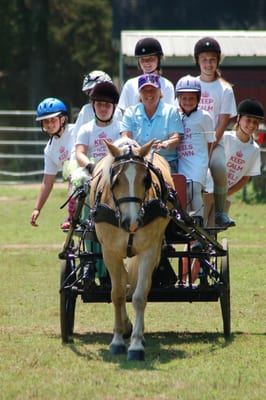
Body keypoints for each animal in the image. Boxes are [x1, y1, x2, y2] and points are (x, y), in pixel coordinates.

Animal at [89, 138, 177, 362]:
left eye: (146, 180)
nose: (132, 222)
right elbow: (117, 294)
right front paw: (118, 340)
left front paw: (136, 345)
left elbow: (139, 296)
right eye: (115, 181)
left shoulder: (149, 250)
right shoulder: (110, 252)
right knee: (122, 284)